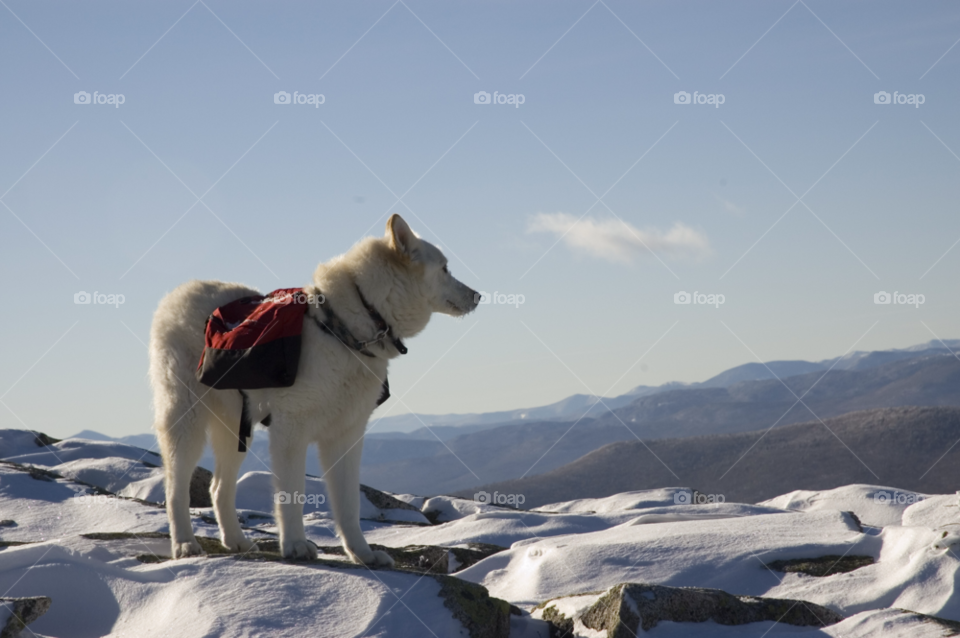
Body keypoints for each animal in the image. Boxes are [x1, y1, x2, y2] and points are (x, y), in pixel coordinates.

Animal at [149, 216, 476, 564]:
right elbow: (293, 496)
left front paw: (363, 554)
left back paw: (237, 542)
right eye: (444, 269)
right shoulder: (291, 431)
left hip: (236, 430)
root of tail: (176, 295)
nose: (478, 295)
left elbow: (349, 506)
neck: (346, 328)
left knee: (218, 488)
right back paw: (185, 544)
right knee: (175, 488)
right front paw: (295, 545)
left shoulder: (346, 436)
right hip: (187, 422)